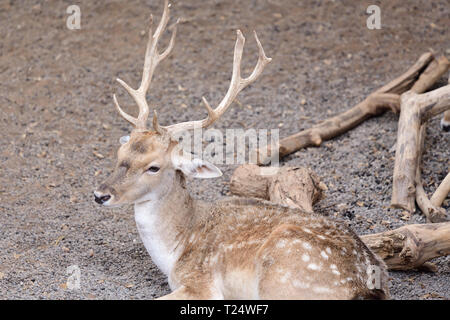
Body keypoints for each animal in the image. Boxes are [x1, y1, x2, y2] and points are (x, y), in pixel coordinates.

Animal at [94, 0, 390, 300]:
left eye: (153, 167)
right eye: (120, 155)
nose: (100, 194)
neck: (175, 251)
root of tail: (364, 286)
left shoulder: (201, 283)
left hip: (280, 277)